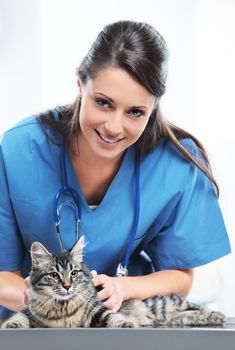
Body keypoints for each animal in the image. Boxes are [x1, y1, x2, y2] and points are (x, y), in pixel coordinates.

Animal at [1, 237, 226, 330]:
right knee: (182, 316)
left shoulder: (97, 311)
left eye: (73, 273)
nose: (67, 286)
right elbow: (19, 317)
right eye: (55, 275)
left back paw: (216, 315)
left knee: (194, 307)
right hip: (166, 315)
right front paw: (12, 324)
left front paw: (126, 323)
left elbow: (112, 317)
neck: (62, 308)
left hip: (164, 304)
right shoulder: (29, 312)